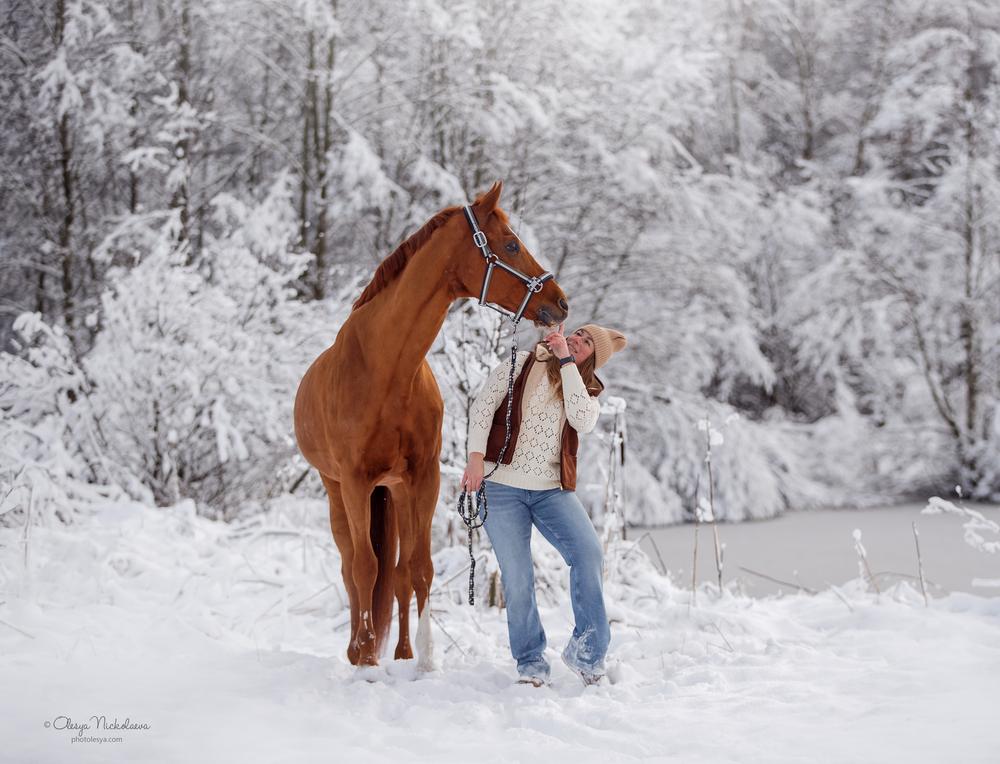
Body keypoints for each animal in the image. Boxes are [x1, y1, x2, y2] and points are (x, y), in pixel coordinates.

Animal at [293, 181, 569, 669]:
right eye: (511, 244)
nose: (559, 302)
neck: (387, 371)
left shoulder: (424, 478)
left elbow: (419, 568)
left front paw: (424, 660)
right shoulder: (355, 482)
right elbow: (365, 567)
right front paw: (367, 660)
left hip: (396, 490)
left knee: (399, 572)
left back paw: (401, 653)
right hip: (336, 491)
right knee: (351, 567)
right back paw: (357, 649)